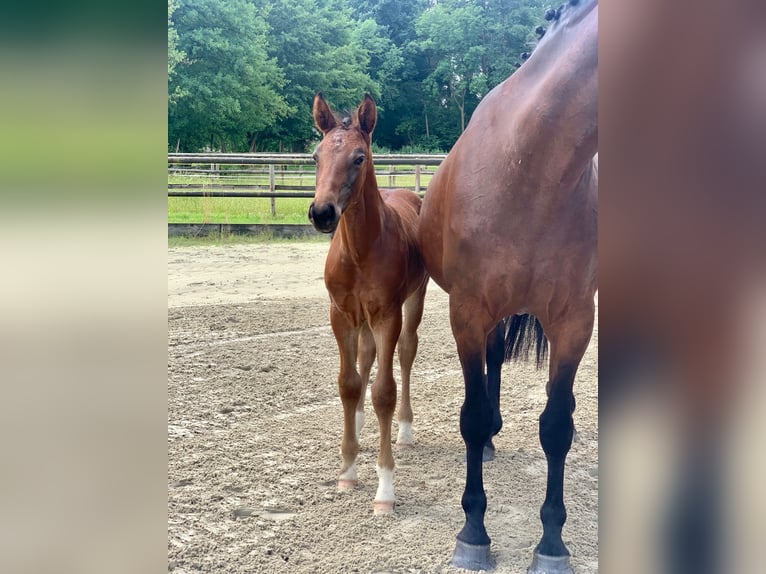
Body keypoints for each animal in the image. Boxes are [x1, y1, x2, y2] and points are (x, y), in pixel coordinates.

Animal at [312, 93, 432, 516]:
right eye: (315, 156)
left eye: (359, 157)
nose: (322, 213)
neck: (361, 251)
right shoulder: (341, 315)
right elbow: (348, 384)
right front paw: (347, 469)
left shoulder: (387, 315)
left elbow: (385, 391)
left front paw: (385, 489)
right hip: (360, 319)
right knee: (366, 357)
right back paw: (361, 424)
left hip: (414, 299)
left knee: (406, 354)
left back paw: (405, 429)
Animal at [420, 2, 600, 572]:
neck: (532, 169)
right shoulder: (467, 311)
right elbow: (472, 416)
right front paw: (474, 532)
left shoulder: (574, 320)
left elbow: (557, 426)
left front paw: (552, 544)